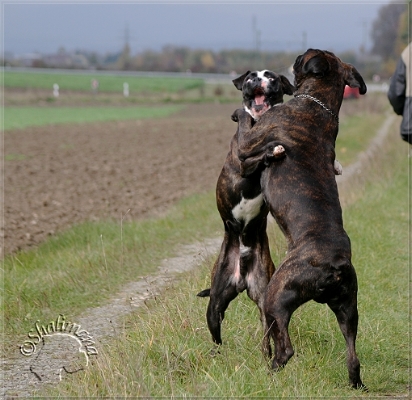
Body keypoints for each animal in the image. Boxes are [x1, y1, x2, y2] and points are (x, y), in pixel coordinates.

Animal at [197, 70, 294, 357]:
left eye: (271, 77)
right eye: (251, 77)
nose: (258, 80)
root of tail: (241, 278)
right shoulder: (242, 162)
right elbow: (254, 157)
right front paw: (271, 151)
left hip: (262, 295)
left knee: (266, 332)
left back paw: (266, 356)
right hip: (216, 300)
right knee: (215, 328)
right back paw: (218, 354)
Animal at [236, 49, 367, 389]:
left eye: (302, 57)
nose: (293, 58)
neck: (319, 103)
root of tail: (334, 265)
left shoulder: (249, 142)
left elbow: (246, 127)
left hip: (275, 296)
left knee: (284, 347)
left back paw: (270, 372)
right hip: (348, 309)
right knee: (352, 354)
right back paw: (355, 382)